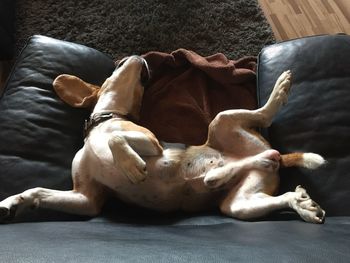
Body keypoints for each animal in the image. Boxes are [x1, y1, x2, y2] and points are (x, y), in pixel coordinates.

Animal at [0, 56, 326, 224]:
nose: (139, 57)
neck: (101, 123)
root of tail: (273, 156)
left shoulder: (151, 141)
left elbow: (116, 139)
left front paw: (131, 165)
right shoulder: (86, 198)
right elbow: (38, 190)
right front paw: (12, 201)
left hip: (221, 119)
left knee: (265, 115)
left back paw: (279, 91)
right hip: (239, 204)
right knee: (268, 191)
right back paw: (296, 201)